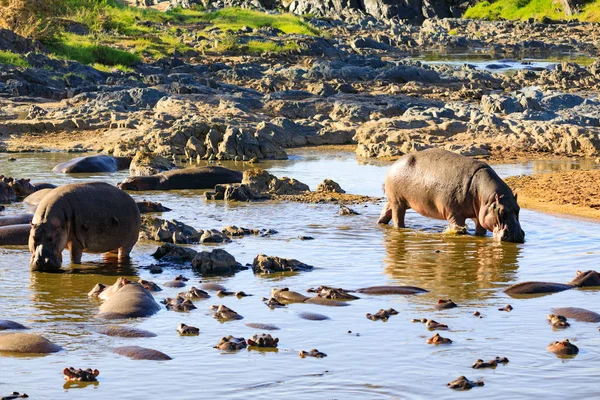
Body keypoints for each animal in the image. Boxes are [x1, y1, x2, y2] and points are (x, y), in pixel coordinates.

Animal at [380, 149, 524, 244]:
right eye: (501, 211)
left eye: (518, 209)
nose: (516, 236)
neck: (488, 199)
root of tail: (394, 164)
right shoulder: (455, 215)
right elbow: (459, 228)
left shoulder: (480, 215)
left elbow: (480, 231)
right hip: (398, 203)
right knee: (398, 219)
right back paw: (401, 229)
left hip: (399, 201)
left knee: (387, 209)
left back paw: (380, 223)